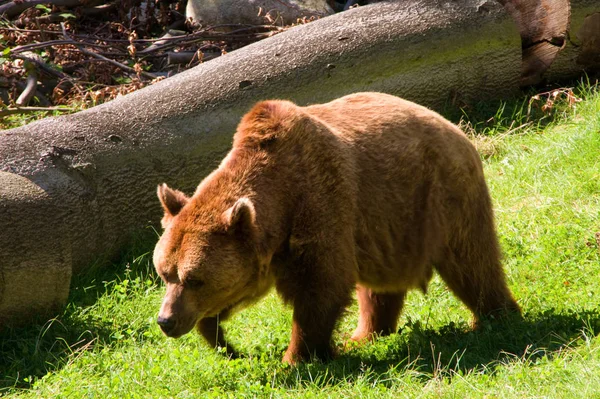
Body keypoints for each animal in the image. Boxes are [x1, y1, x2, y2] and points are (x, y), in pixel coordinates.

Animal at [154, 91, 520, 366]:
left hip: (440, 195)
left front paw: (296, 357)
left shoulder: (319, 205)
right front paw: (220, 339)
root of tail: (453, 126)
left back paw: (493, 318)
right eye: (165, 273)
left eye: (194, 278)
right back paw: (364, 335)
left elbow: (321, 288)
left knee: (472, 261)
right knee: (380, 286)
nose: (165, 320)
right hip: (390, 225)